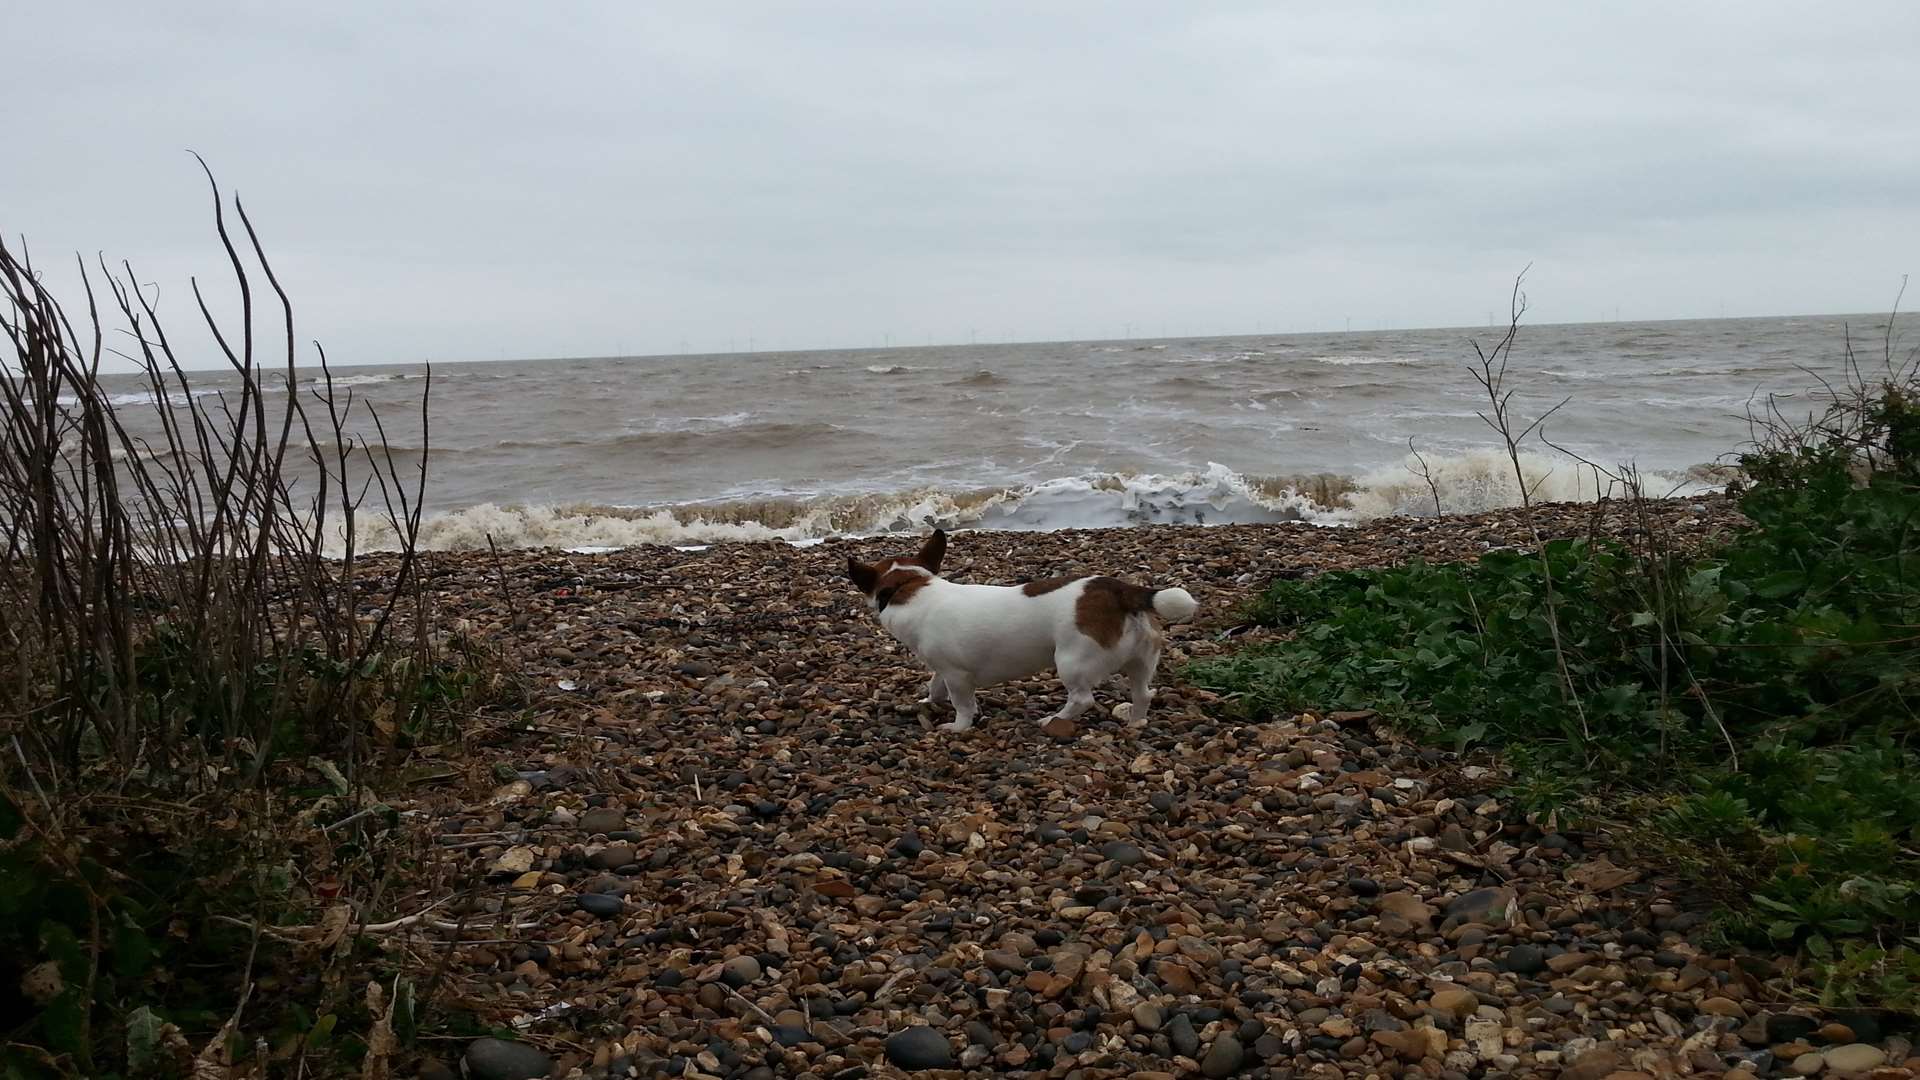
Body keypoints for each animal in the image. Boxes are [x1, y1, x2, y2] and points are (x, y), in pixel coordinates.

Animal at [844, 526, 1190, 730]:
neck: (909, 585)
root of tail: (1119, 590)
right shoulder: (942, 670)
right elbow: (935, 686)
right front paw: (929, 702)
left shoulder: (957, 675)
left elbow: (962, 704)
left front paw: (957, 727)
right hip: (1141, 659)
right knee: (1144, 692)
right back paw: (1136, 722)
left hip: (1072, 661)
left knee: (1082, 699)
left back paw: (1054, 719)